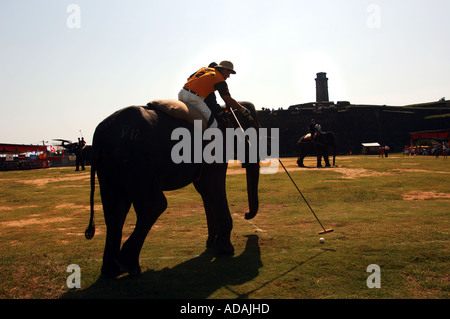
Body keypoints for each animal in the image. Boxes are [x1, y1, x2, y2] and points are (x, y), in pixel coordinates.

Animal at [84, 100, 260, 278]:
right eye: (251, 130)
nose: (246, 215)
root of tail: (100, 136)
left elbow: (205, 189)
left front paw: (211, 245)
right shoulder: (214, 149)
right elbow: (212, 186)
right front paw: (225, 250)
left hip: (111, 167)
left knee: (115, 210)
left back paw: (112, 271)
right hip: (136, 159)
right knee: (154, 205)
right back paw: (129, 266)